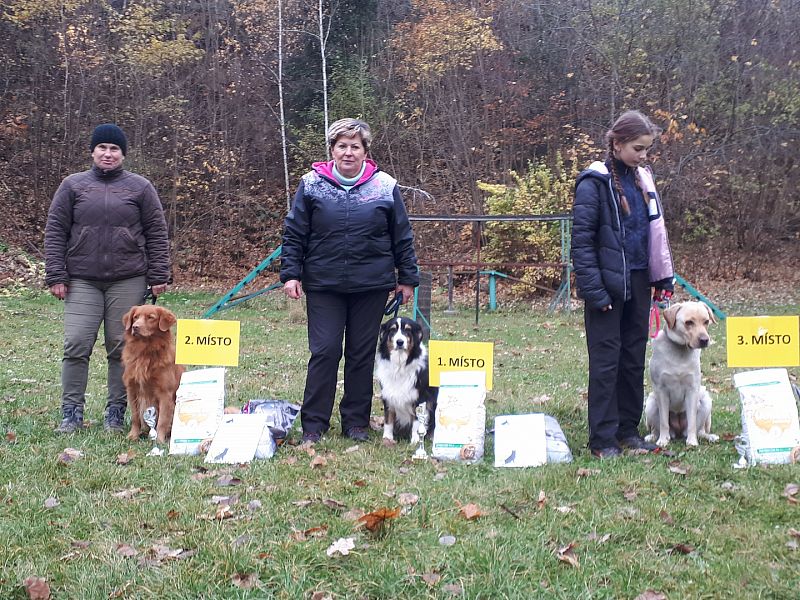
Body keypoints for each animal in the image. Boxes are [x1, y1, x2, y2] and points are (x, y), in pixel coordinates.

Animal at [120, 304, 184, 440]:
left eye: (151, 317)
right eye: (135, 317)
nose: (135, 327)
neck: (145, 352)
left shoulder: (165, 393)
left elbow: (162, 421)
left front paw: (159, 440)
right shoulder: (132, 390)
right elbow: (135, 417)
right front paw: (133, 436)